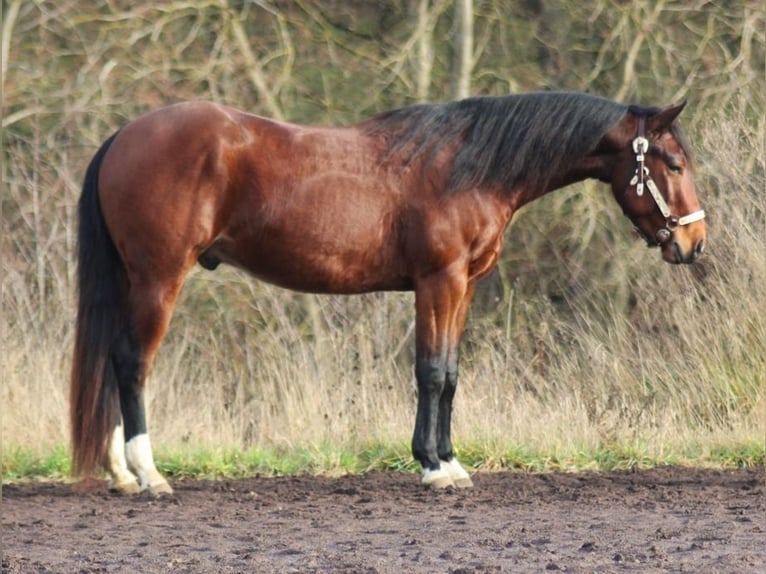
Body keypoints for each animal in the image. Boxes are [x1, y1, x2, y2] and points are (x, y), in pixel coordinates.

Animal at [70, 91, 706, 494]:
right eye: (673, 163)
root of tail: (123, 135)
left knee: (112, 362)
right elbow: (430, 372)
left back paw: (120, 474)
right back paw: (148, 474)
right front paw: (432, 466)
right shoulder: (438, 281)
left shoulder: (463, 288)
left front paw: (449, 460)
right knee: (132, 364)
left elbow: (451, 373)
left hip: (133, 280)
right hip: (158, 278)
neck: (469, 167)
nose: (695, 242)